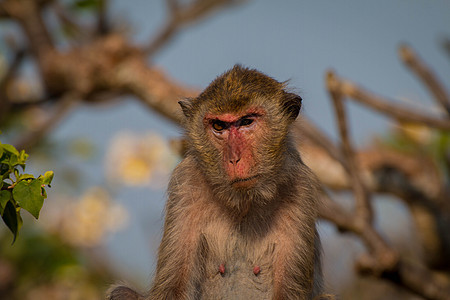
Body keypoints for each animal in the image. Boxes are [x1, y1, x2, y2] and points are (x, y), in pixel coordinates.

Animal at [110, 64, 326, 298]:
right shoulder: (186, 180)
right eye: (219, 126)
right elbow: (173, 288)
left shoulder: (301, 187)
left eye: (247, 122)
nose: (234, 159)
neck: (244, 203)